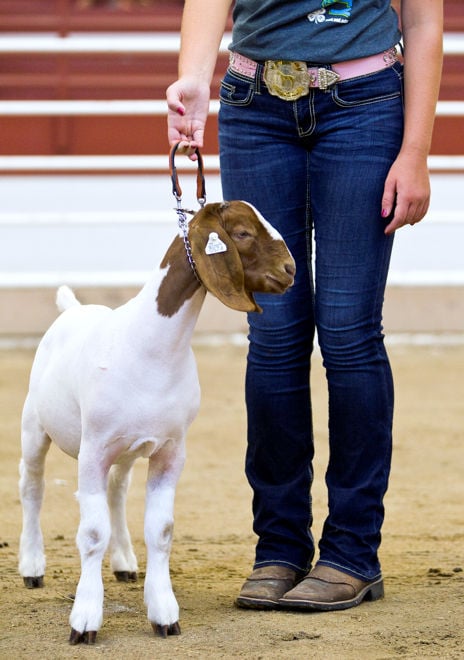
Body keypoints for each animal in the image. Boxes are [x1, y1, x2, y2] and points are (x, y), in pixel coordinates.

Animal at [18, 201, 296, 644]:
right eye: (241, 233)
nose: (290, 270)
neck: (147, 346)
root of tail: (74, 308)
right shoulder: (94, 449)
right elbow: (91, 533)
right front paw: (85, 619)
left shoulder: (170, 450)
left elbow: (161, 530)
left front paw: (164, 612)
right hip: (35, 426)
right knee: (32, 487)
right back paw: (32, 566)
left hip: (127, 451)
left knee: (116, 492)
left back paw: (124, 563)